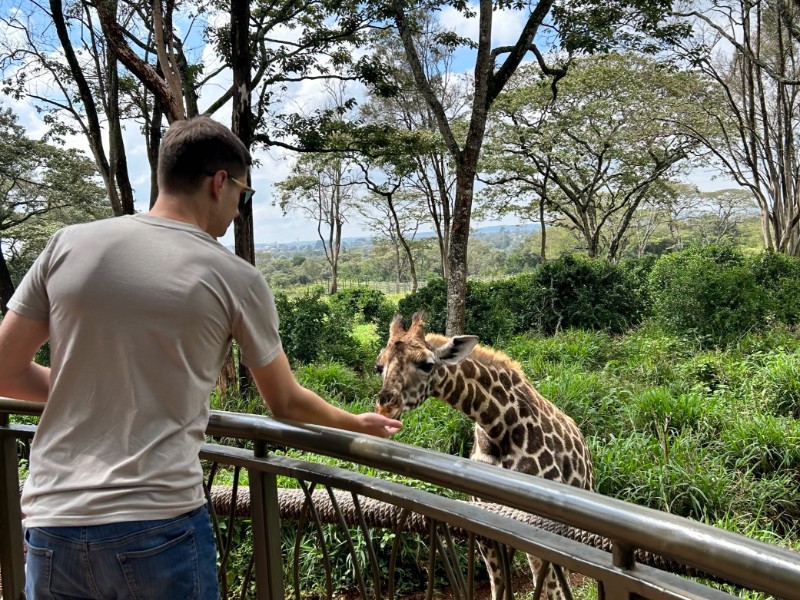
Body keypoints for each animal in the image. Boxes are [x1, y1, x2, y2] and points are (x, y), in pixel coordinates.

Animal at [374, 313, 594, 600]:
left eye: (426, 364)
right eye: (379, 366)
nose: (385, 407)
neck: (498, 428)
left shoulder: (542, 528)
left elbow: (551, 588)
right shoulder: (487, 523)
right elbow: (498, 585)